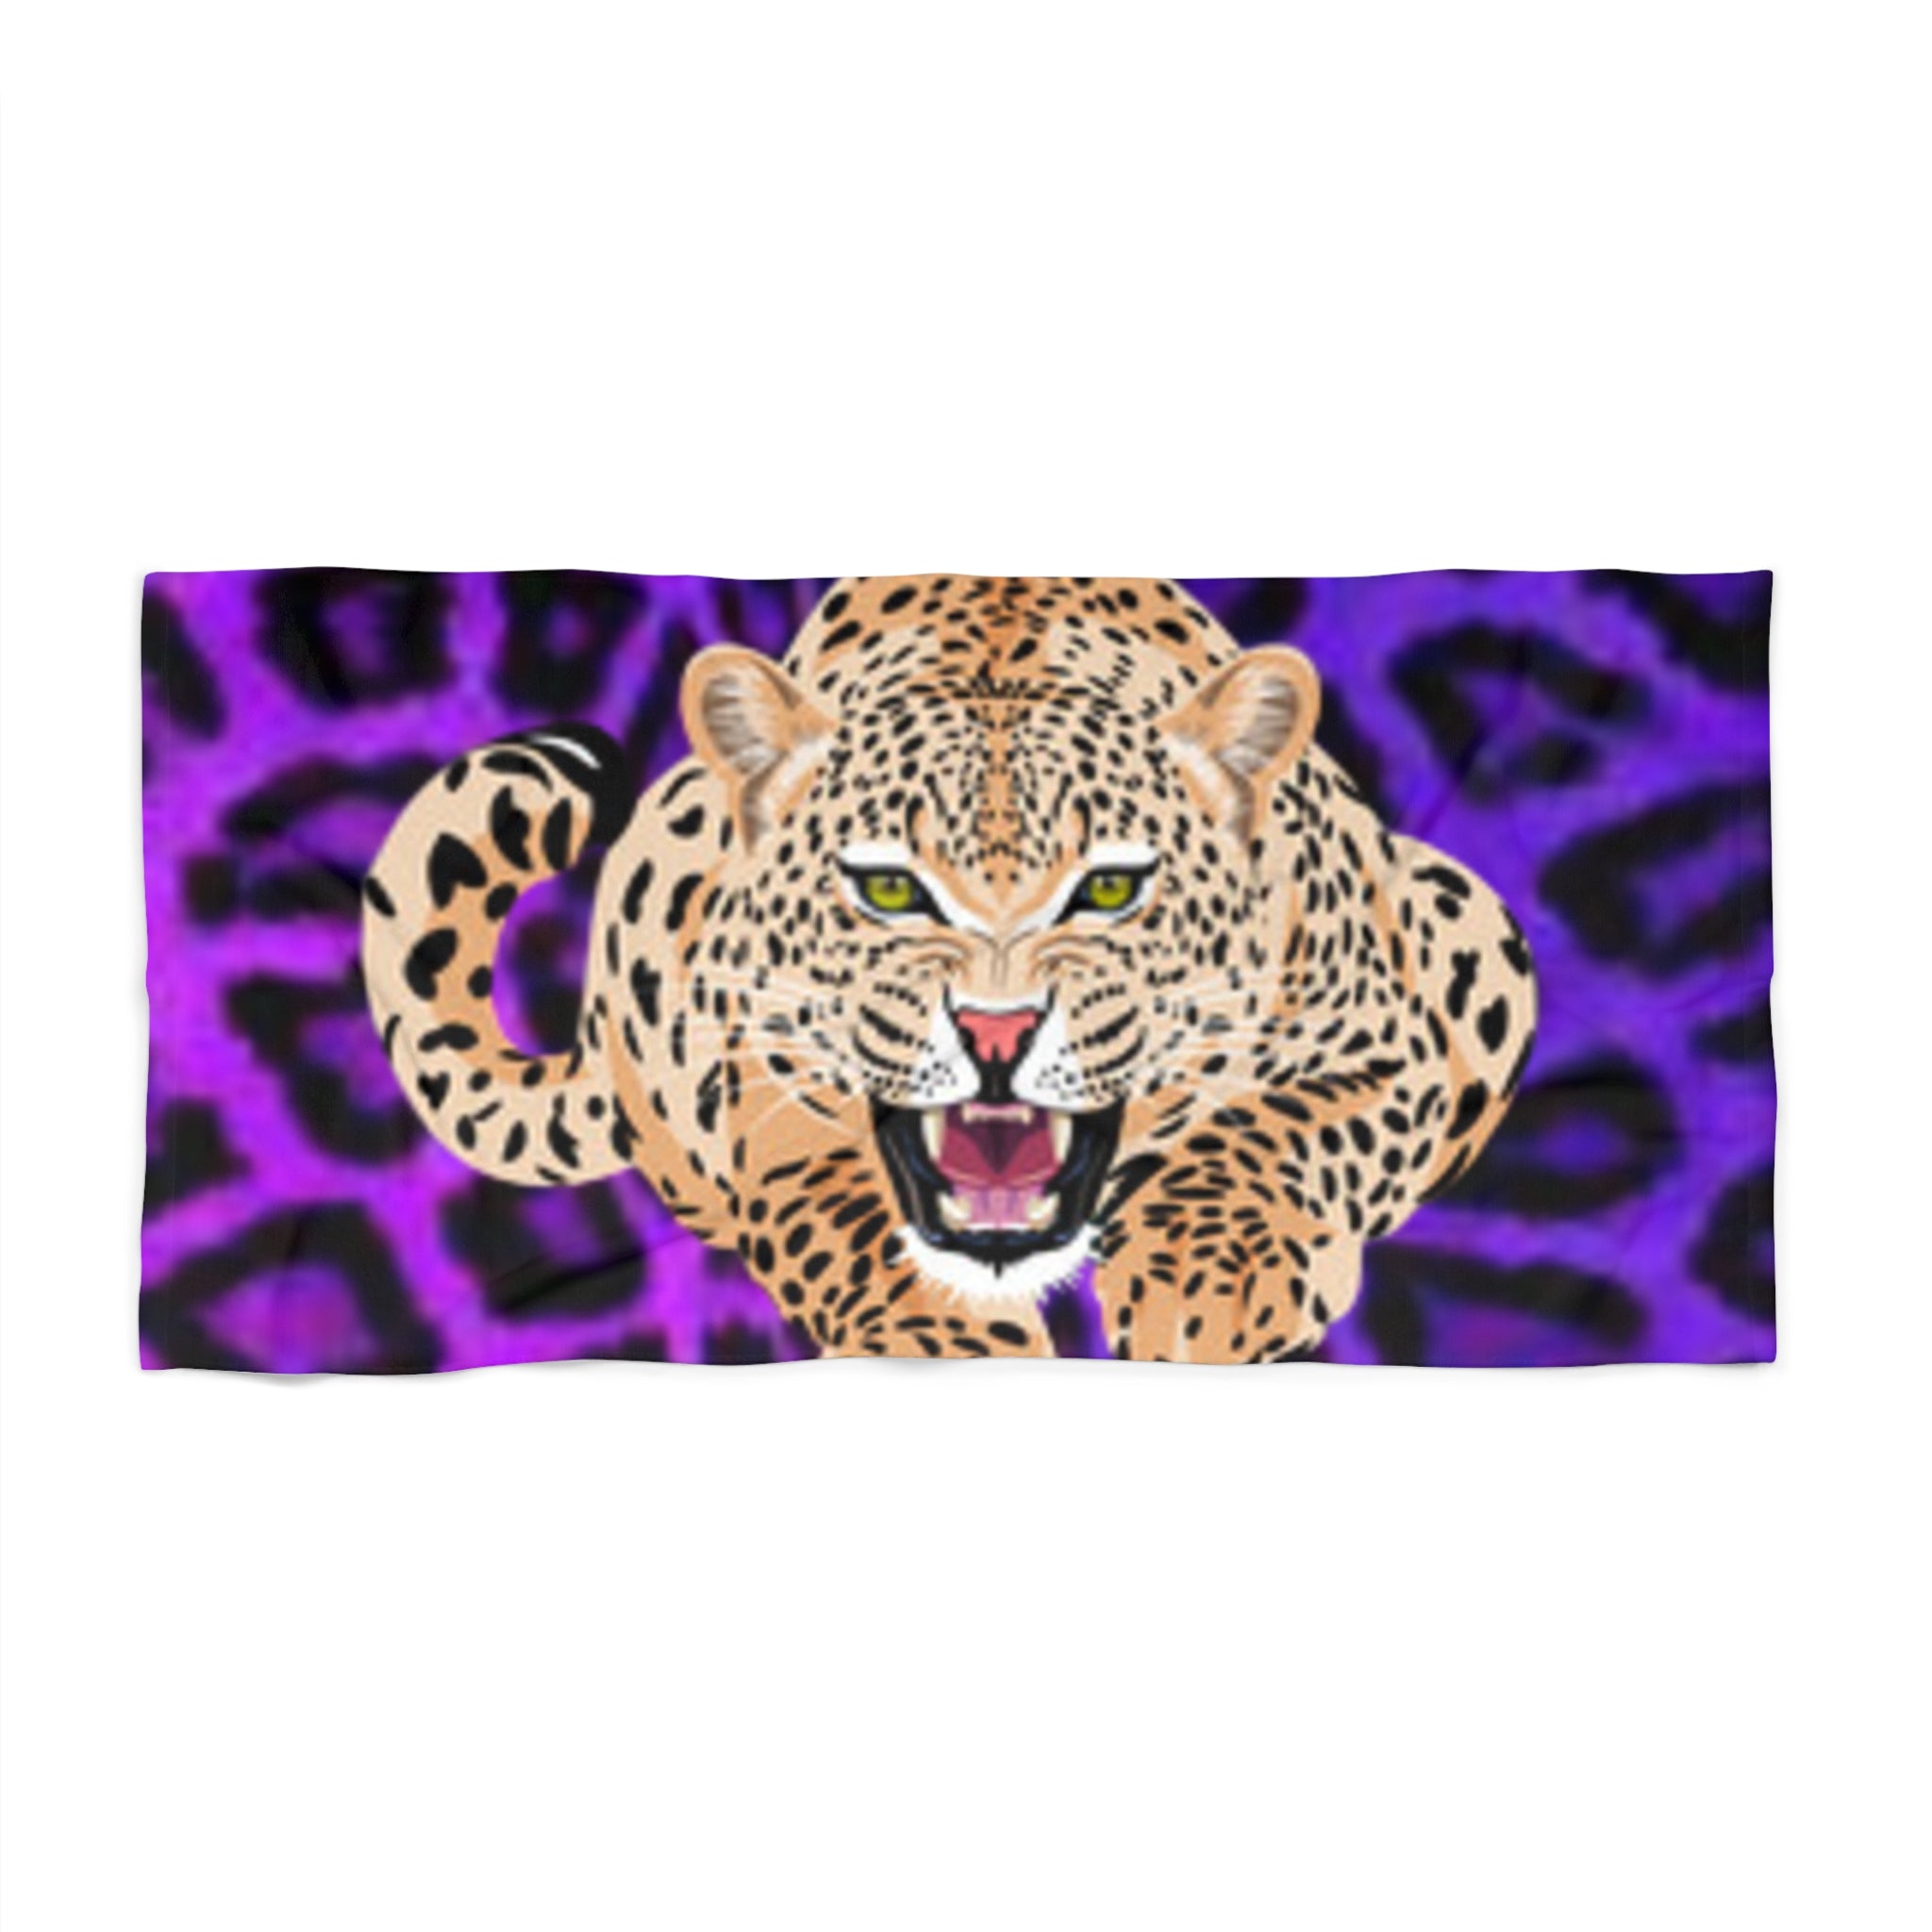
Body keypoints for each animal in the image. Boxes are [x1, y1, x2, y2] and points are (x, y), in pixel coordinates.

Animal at [360, 575, 1538, 1362]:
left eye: (1109, 889)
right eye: (888, 888)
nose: (995, 1031)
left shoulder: (1386, 1040)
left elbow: (1276, 1131)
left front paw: (1212, 1278)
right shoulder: (763, 1081)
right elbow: (841, 1211)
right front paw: (944, 1337)